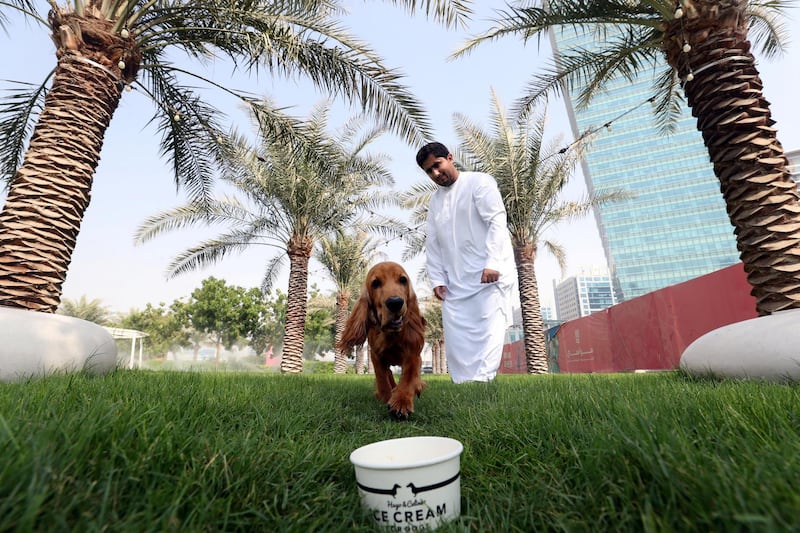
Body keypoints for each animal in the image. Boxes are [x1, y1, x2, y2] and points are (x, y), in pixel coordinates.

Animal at [336, 260, 424, 418]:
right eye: (375, 283)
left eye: (403, 280)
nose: (395, 302)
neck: (391, 334)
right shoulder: (376, 355)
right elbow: (382, 378)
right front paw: (386, 397)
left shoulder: (413, 353)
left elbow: (409, 377)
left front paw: (401, 402)